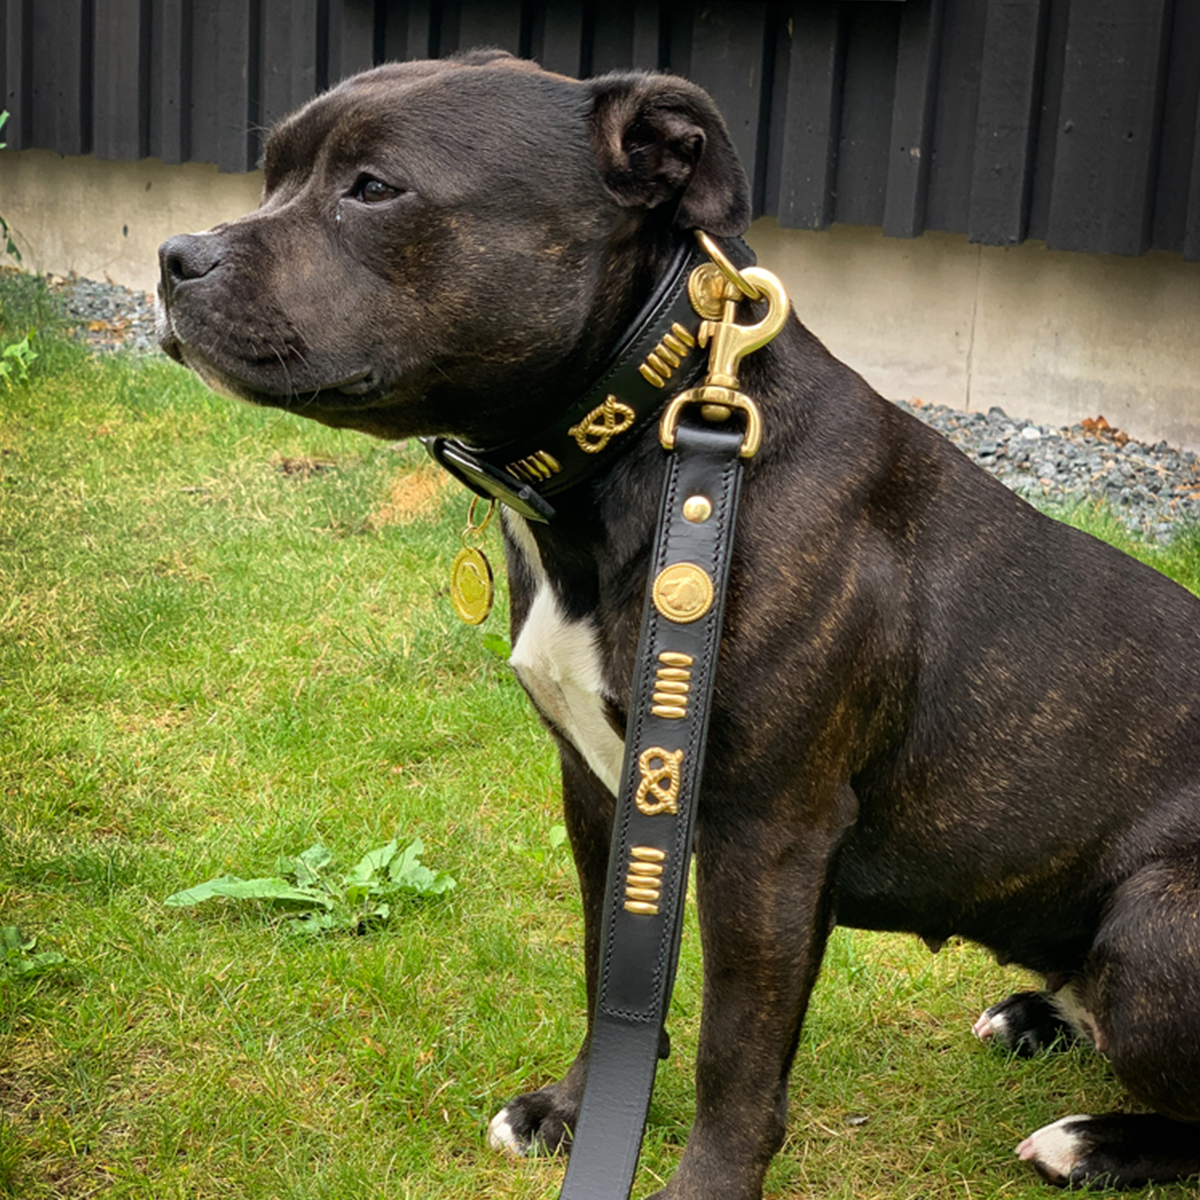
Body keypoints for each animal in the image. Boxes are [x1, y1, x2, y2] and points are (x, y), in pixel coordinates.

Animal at [154, 49, 1195, 1200]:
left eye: (374, 189)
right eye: (271, 177)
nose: (174, 256)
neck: (645, 443)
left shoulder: (768, 840)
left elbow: (734, 1052)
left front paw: (703, 1184)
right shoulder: (605, 789)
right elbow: (610, 967)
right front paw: (577, 1109)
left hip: (1155, 930)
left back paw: (1094, 1139)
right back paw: (1038, 1016)